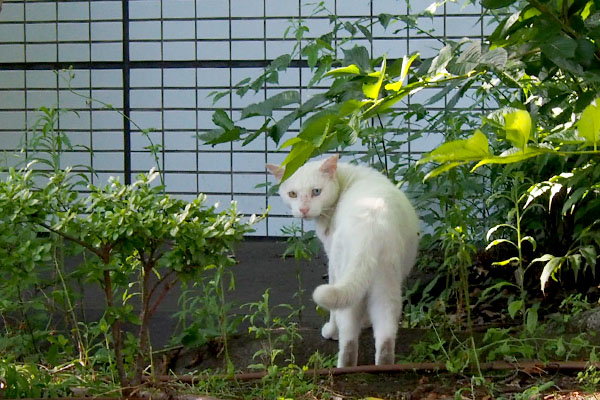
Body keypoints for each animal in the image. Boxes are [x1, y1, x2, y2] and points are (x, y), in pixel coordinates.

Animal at [268, 155, 422, 368]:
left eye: (316, 191)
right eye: (292, 194)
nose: (304, 209)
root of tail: (371, 230)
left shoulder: (332, 262)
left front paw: (331, 331)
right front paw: (366, 323)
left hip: (344, 271)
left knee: (348, 338)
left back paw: (342, 363)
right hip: (387, 286)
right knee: (385, 337)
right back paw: (383, 366)